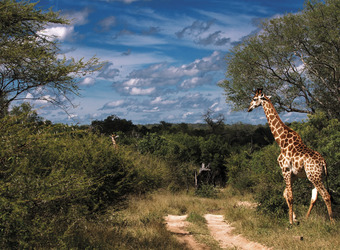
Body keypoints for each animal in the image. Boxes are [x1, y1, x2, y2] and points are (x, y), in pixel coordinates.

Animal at [248, 88, 334, 225]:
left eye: (255, 99)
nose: (249, 108)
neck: (281, 141)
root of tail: (323, 162)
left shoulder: (285, 170)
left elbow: (290, 196)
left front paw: (290, 222)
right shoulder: (294, 174)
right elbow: (285, 194)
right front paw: (295, 218)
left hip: (314, 177)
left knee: (326, 195)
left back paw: (332, 222)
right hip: (314, 176)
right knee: (314, 197)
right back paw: (306, 219)